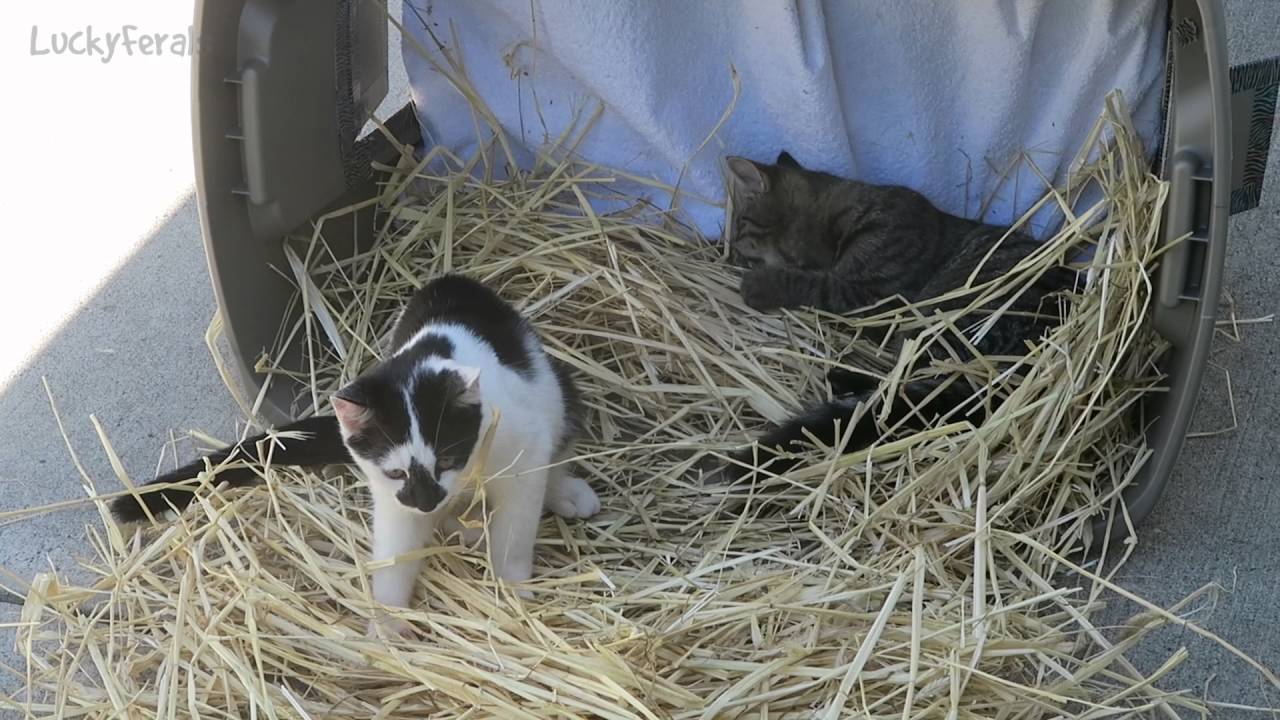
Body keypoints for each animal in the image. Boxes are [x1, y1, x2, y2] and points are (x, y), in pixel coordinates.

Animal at [727, 149, 1075, 476]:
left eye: (740, 225)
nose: (729, 250)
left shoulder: (874, 299)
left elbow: (816, 285)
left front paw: (760, 285)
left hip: (939, 322)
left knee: (898, 388)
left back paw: (840, 376)